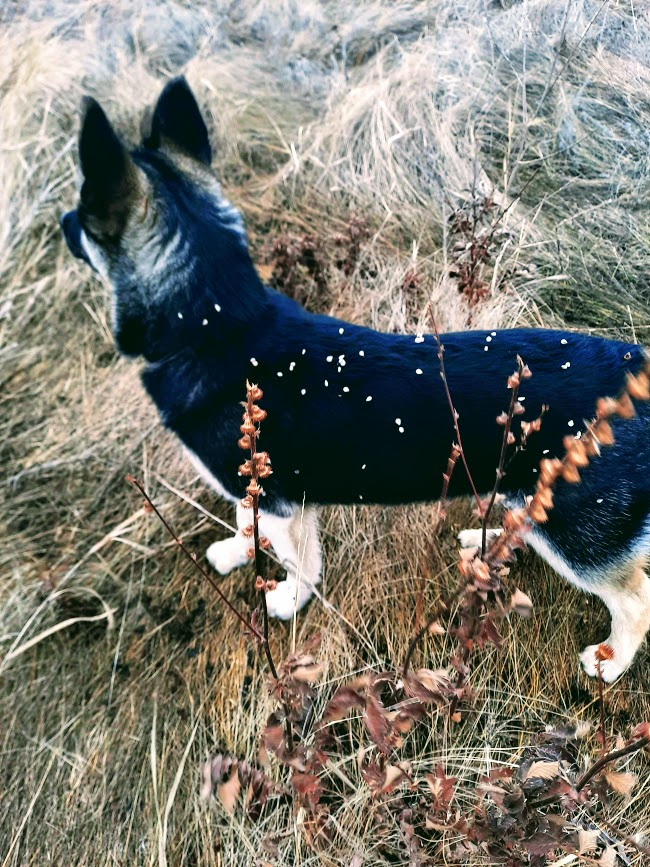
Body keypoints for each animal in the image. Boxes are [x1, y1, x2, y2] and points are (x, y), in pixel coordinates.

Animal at [60, 78, 648, 680]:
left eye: (82, 211)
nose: (59, 225)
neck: (218, 325)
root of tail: (635, 366)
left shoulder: (286, 509)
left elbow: (298, 563)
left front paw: (287, 600)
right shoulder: (255, 491)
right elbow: (245, 524)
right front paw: (234, 552)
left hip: (580, 534)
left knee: (634, 598)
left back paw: (611, 660)